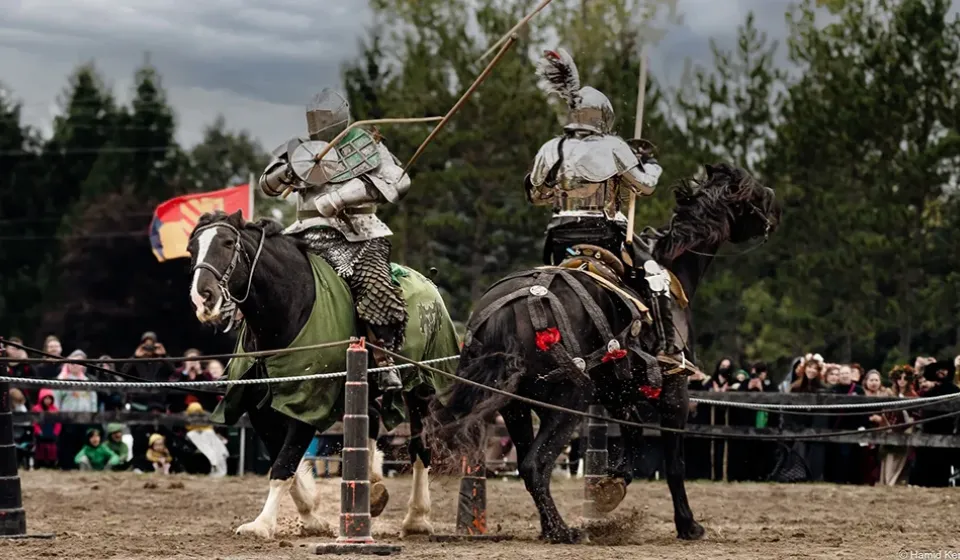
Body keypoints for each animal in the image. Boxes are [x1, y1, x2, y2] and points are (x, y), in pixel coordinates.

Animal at [188, 210, 462, 540]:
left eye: (228, 243)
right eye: (191, 249)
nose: (203, 297)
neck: (289, 310)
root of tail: (430, 285)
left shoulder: (308, 404)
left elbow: (284, 464)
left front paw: (262, 524)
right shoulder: (260, 411)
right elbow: (285, 462)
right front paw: (311, 516)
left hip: (421, 388)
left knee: (419, 446)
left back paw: (416, 519)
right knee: (371, 418)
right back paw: (372, 486)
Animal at [428, 163, 780, 544]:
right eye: (753, 191)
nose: (774, 208)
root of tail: (508, 312)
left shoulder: (617, 390)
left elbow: (633, 432)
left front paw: (611, 486)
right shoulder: (675, 394)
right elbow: (674, 462)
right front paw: (687, 524)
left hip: (515, 406)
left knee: (527, 463)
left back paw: (551, 526)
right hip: (568, 401)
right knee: (536, 463)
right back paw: (562, 530)